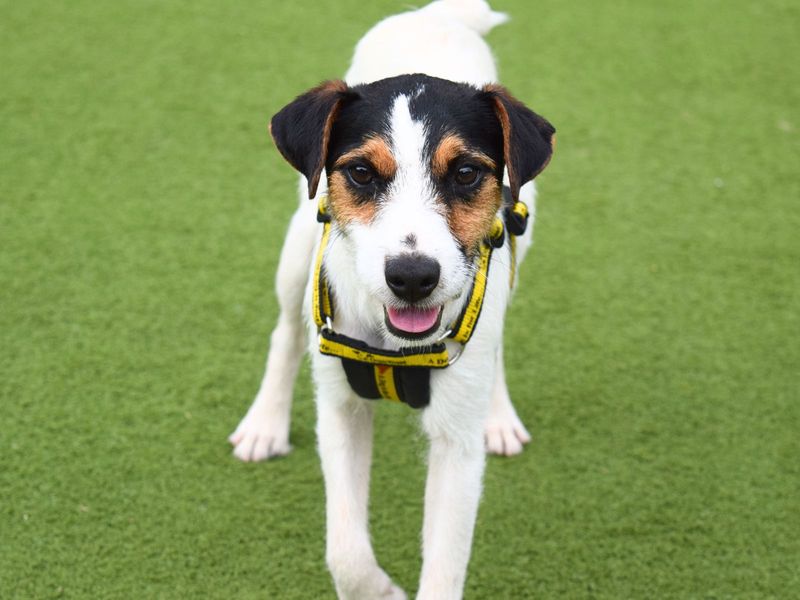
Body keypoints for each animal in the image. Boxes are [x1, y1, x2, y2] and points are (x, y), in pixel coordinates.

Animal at [230, 2, 556, 596]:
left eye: (467, 172)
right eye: (361, 172)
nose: (412, 277)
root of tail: (439, 16)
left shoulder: (456, 445)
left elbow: (444, 566)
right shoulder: (340, 408)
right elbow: (345, 552)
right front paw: (379, 589)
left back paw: (498, 415)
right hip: (298, 246)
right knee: (285, 332)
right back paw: (264, 423)